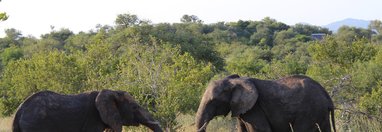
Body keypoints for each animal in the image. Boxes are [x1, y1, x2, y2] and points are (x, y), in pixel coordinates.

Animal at [195, 75, 336, 132]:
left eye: (213, 101)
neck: (235, 81)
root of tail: (326, 95)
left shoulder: (255, 108)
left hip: (310, 111)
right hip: (320, 112)